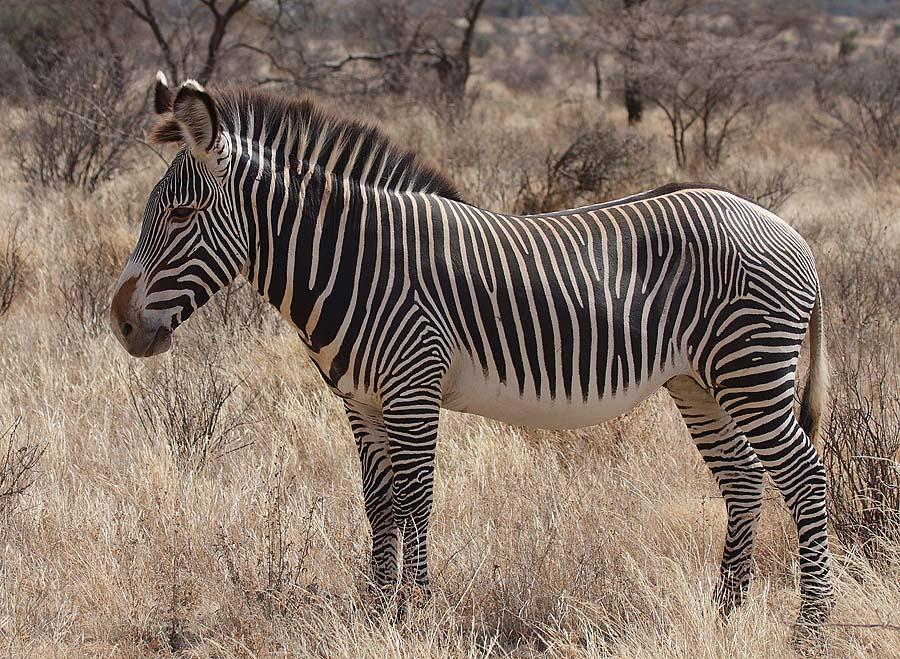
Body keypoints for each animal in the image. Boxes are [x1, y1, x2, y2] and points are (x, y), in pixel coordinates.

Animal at [110, 73, 834, 628]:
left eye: (180, 215)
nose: (120, 322)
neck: (359, 263)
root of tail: (787, 230)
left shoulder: (412, 385)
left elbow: (415, 498)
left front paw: (416, 611)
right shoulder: (361, 401)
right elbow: (378, 503)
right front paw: (378, 612)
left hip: (751, 369)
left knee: (804, 476)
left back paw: (811, 623)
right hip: (699, 381)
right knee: (743, 479)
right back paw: (724, 612)